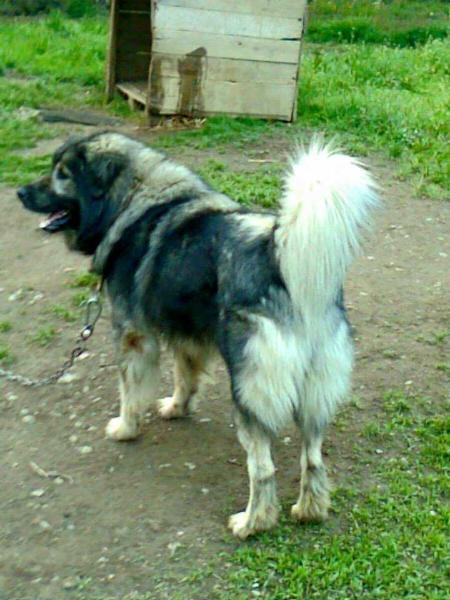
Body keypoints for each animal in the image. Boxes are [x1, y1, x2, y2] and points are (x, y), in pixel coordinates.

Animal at [17, 132, 378, 540]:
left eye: (62, 174)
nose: (20, 192)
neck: (130, 201)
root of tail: (282, 257)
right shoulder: (188, 337)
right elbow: (184, 379)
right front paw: (177, 408)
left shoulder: (132, 335)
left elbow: (129, 392)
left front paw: (125, 429)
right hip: (313, 394)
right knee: (313, 459)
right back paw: (309, 510)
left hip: (248, 392)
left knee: (262, 470)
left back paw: (250, 523)